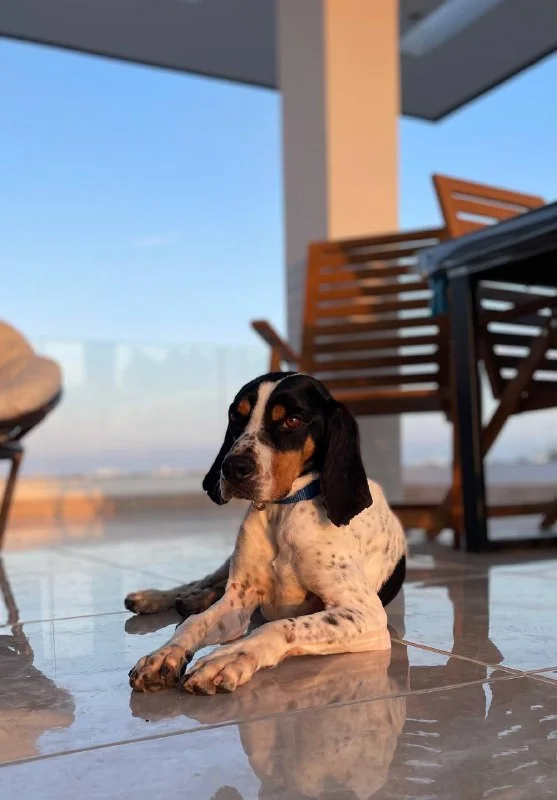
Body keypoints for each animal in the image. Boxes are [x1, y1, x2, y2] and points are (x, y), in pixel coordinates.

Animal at [127, 372, 406, 694]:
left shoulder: (365, 613)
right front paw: (162, 656)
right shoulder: (238, 601)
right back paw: (159, 597)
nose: (233, 468)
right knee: (203, 582)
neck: (282, 512)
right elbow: (193, 624)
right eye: (236, 416)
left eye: (292, 421)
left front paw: (226, 659)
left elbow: (278, 626)